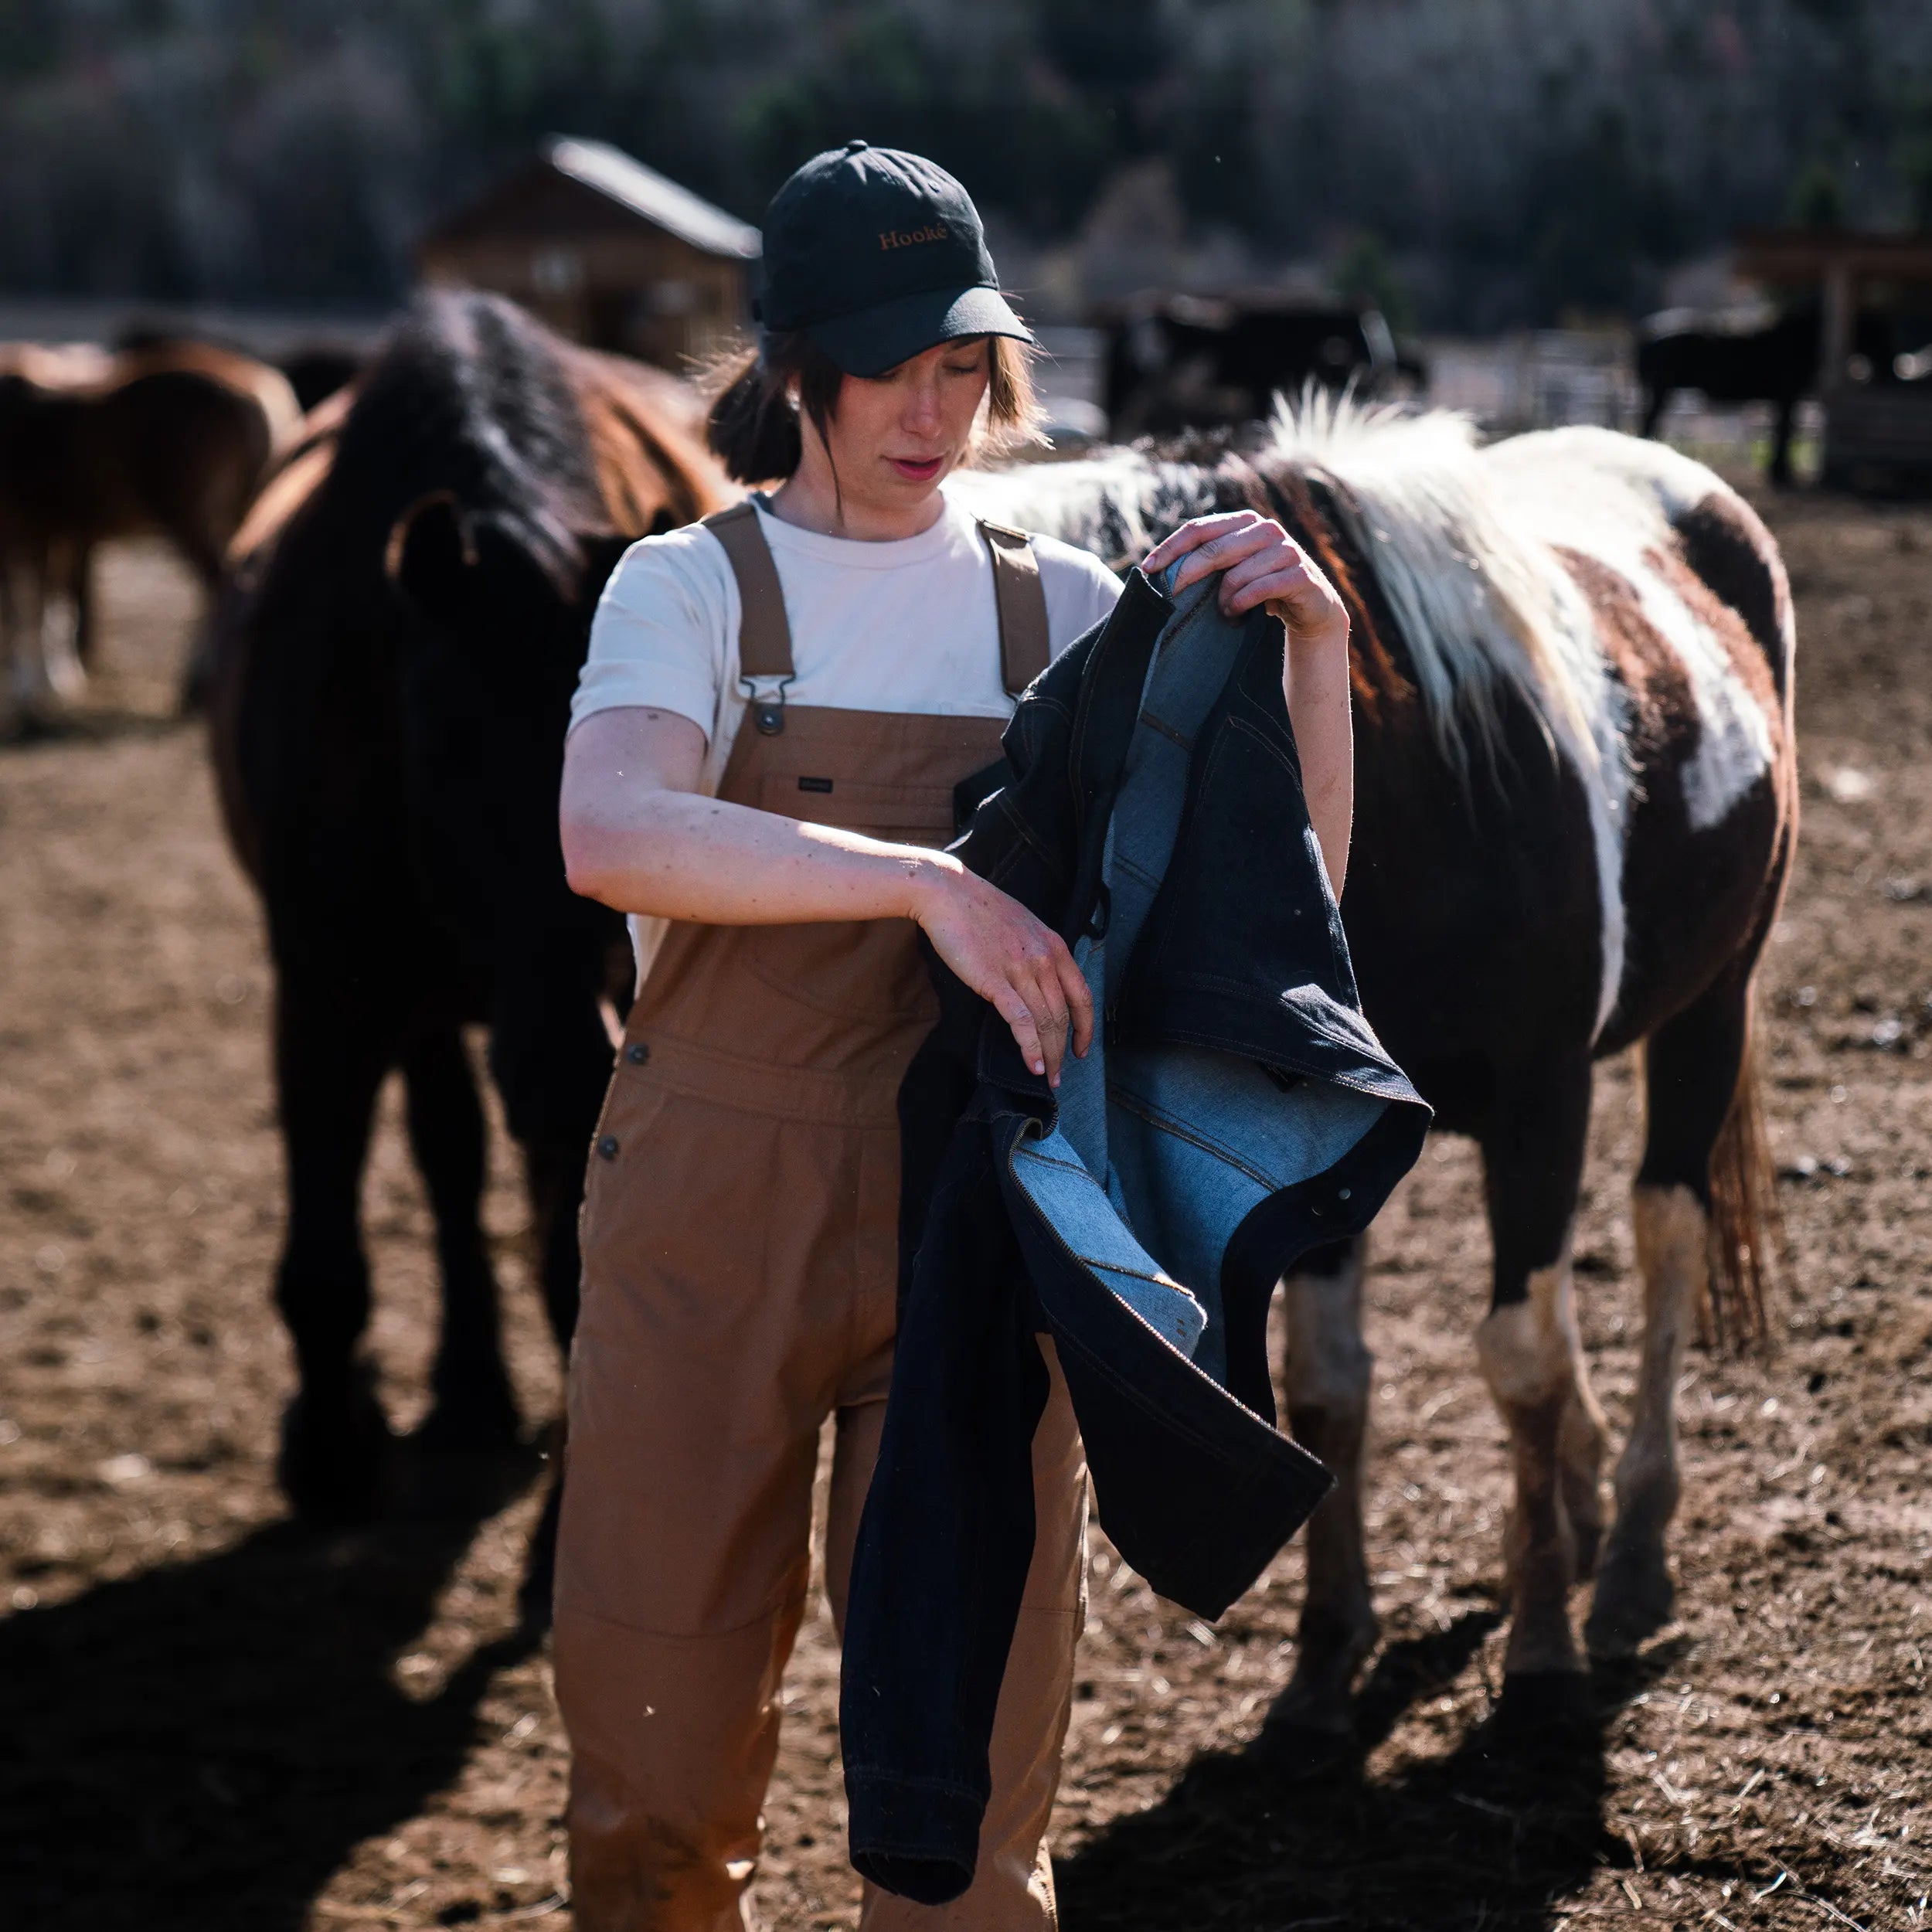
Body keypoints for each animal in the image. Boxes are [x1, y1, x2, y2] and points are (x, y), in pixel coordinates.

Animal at [206, 290, 726, 1615]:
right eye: (440, 743)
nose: (557, 1067)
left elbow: (580, 1264)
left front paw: (566, 1541)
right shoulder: (325, 991)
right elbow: (325, 1261)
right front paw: (332, 1458)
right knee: (445, 1154)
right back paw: (465, 1389)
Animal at [951, 392, 1793, 1739]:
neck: (1416, 792)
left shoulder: (1542, 1100)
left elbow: (1522, 1359)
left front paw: (1542, 1645)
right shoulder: (1316, 1117)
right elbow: (1329, 1384)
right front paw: (1327, 1648)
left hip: (1714, 1001)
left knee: (1667, 1232)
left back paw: (1632, 1552)